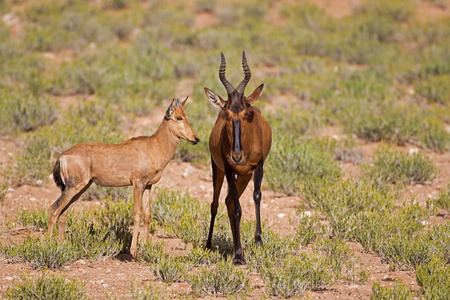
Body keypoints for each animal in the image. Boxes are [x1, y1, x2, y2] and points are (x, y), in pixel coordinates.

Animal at [47, 98, 199, 258]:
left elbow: (147, 214)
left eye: (186, 116)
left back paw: (62, 245)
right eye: (179, 117)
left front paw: (147, 245)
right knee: (54, 210)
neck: (153, 146)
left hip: (81, 188)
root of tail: (62, 157)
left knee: (63, 214)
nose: (196, 139)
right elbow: (137, 213)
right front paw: (134, 251)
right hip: (73, 188)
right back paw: (48, 246)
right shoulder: (138, 183)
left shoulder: (148, 185)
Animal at [205, 52, 274, 264]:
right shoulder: (229, 170)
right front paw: (237, 256)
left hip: (244, 176)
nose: (236, 156)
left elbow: (257, 196)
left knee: (228, 201)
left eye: (244, 113)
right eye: (226, 113)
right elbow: (237, 208)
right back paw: (209, 245)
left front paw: (258, 241)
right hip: (218, 170)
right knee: (216, 203)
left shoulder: (258, 167)